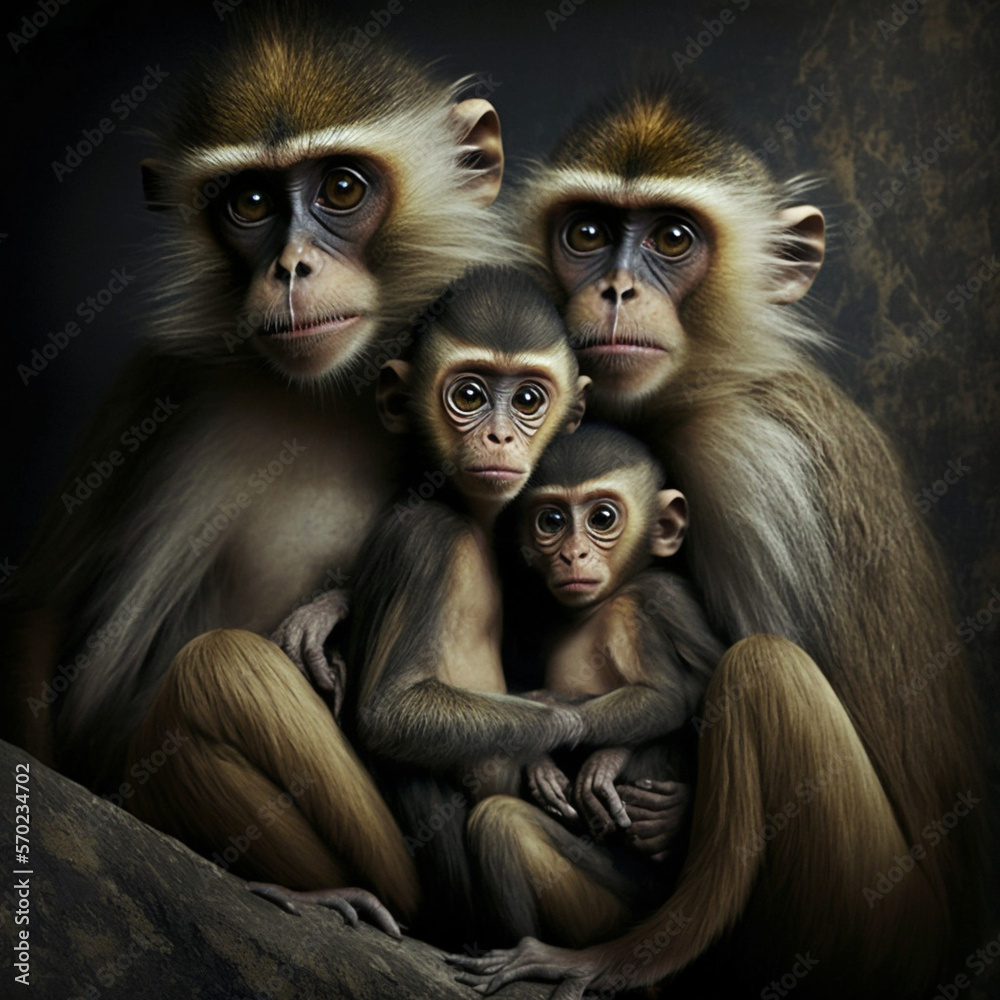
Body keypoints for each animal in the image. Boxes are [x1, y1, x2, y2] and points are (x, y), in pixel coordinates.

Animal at [1, 7, 514, 932]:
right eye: (249, 202)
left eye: (341, 189)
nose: (292, 268)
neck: (323, 392)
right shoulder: (159, 377)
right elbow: (38, 607)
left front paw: (333, 607)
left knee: (223, 671)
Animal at [464, 423, 726, 949]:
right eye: (551, 521)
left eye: (602, 518)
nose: (574, 554)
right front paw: (541, 757)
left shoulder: (660, 598)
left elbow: (680, 694)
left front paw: (606, 757)